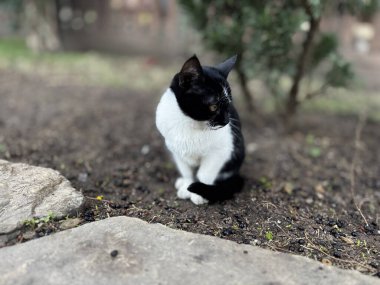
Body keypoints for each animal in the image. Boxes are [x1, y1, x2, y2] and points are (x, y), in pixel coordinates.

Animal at [156, 53, 245, 204]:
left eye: (229, 105)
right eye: (213, 106)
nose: (226, 121)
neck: (189, 123)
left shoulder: (221, 151)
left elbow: (204, 174)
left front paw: (199, 194)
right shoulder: (176, 150)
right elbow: (186, 171)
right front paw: (187, 185)